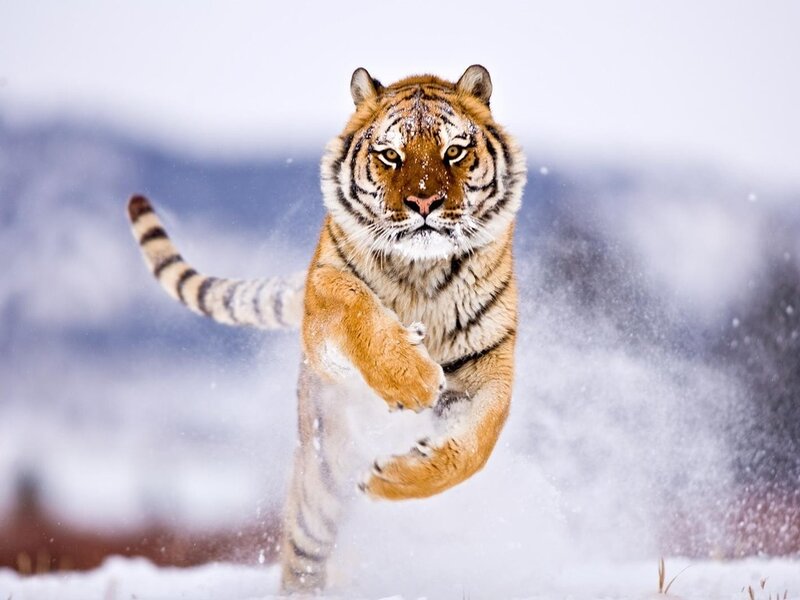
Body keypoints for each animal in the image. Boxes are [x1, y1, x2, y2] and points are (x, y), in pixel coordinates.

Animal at [126, 65, 526, 593]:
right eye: (390, 154)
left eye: (454, 151)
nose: (424, 201)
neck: (421, 272)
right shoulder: (323, 301)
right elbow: (354, 304)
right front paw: (413, 378)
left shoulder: (489, 364)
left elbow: (474, 448)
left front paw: (391, 478)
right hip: (322, 477)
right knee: (303, 552)